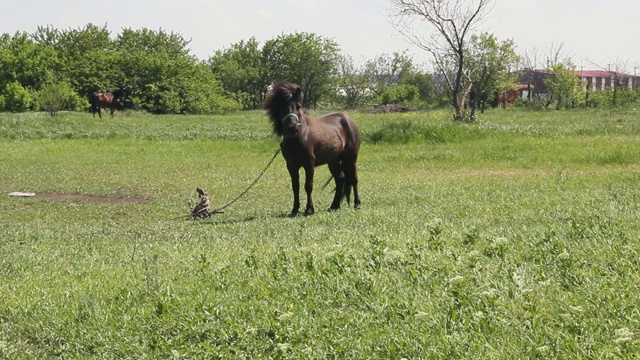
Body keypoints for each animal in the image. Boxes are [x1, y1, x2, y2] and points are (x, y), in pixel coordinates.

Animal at [262, 82, 360, 217]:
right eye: (281, 106)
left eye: (298, 106)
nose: (292, 127)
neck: (299, 136)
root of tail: (348, 119)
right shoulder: (291, 165)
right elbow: (295, 187)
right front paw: (295, 209)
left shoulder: (309, 163)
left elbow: (308, 186)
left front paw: (309, 209)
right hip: (333, 161)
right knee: (340, 178)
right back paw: (334, 206)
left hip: (351, 158)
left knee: (354, 179)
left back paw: (357, 204)